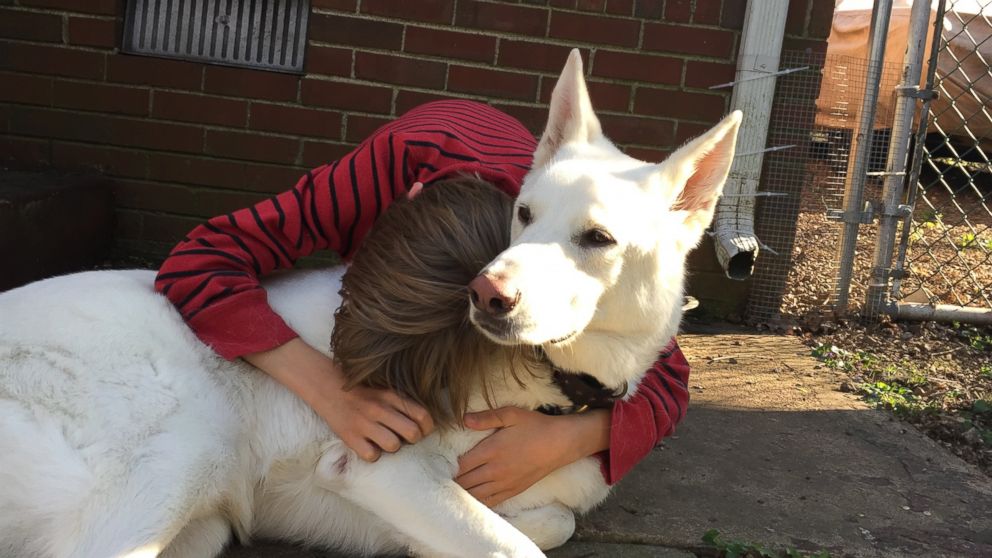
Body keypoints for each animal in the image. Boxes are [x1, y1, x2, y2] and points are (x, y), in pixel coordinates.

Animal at [0, 50, 736, 556]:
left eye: (598, 238)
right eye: (523, 214)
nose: (486, 294)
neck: (549, 382)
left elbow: (548, 523)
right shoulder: (384, 471)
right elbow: (517, 545)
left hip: (201, 522)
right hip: (184, 452)